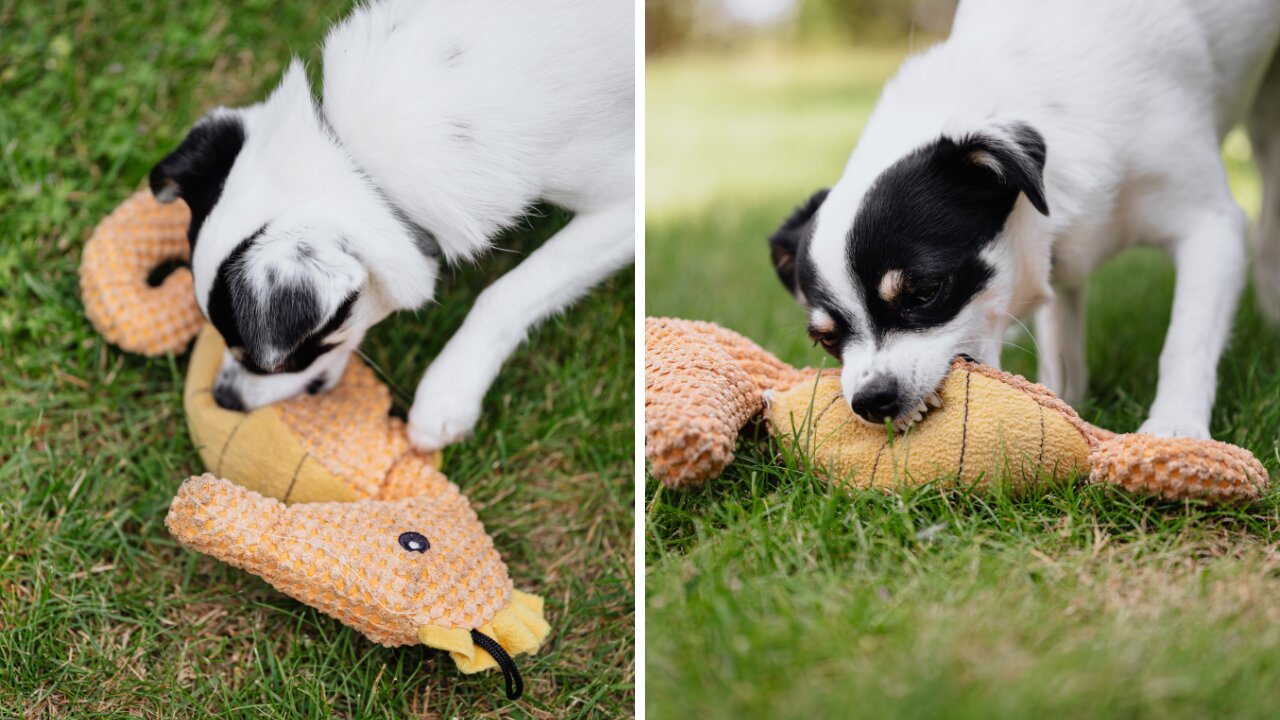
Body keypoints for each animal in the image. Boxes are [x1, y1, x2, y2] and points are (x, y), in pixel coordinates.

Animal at [148, 0, 634, 448]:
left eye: (275, 359)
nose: (223, 399)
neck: (363, 162)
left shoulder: (623, 205)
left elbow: (507, 293)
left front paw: (446, 393)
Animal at [768, 1, 1280, 438]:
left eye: (926, 292)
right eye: (826, 341)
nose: (871, 400)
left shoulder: (1211, 225)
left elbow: (1185, 341)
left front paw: (1175, 428)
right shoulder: (1059, 259)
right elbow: (1061, 344)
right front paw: (1062, 402)